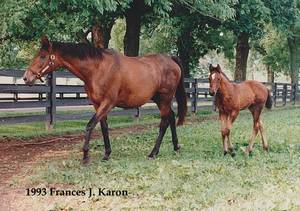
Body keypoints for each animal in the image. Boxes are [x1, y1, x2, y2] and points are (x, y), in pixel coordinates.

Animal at [23, 36, 186, 162]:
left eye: (42, 56)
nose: (26, 77)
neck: (98, 69)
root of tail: (171, 60)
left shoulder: (108, 103)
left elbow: (90, 125)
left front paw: (85, 155)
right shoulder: (98, 104)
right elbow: (103, 127)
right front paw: (107, 154)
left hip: (165, 99)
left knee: (164, 123)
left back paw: (153, 153)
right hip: (160, 100)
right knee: (171, 117)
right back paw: (176, 146)